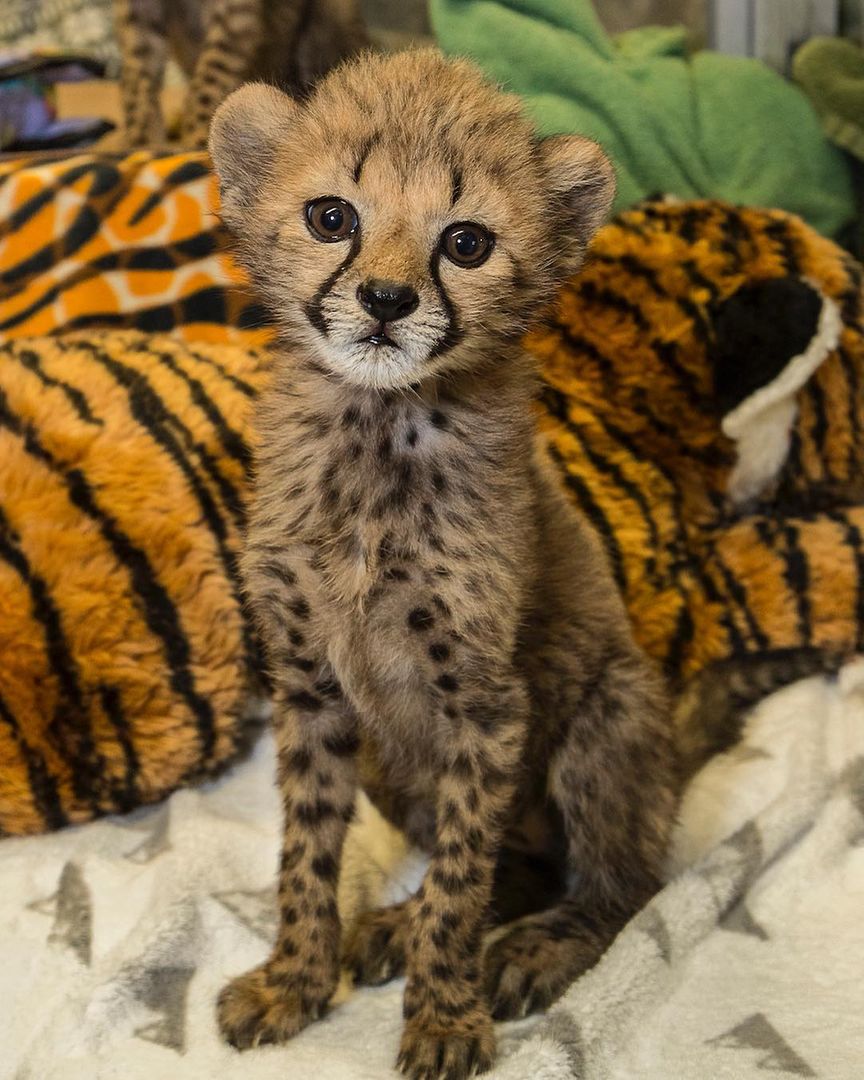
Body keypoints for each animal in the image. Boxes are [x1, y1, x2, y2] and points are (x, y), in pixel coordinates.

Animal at [209, 48, 680, 1080]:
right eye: (332, 217)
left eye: (465, 243)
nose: (388, 301)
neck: (379, 424)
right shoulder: (311, 689)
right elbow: (308, 853)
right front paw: (295, 982)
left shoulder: (486, 705)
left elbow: (464, 876)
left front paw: (444, 1017)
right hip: (392, 766)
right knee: (522, 869)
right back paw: (391, 926)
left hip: (605, 725)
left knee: (619, 888)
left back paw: (532, 946)